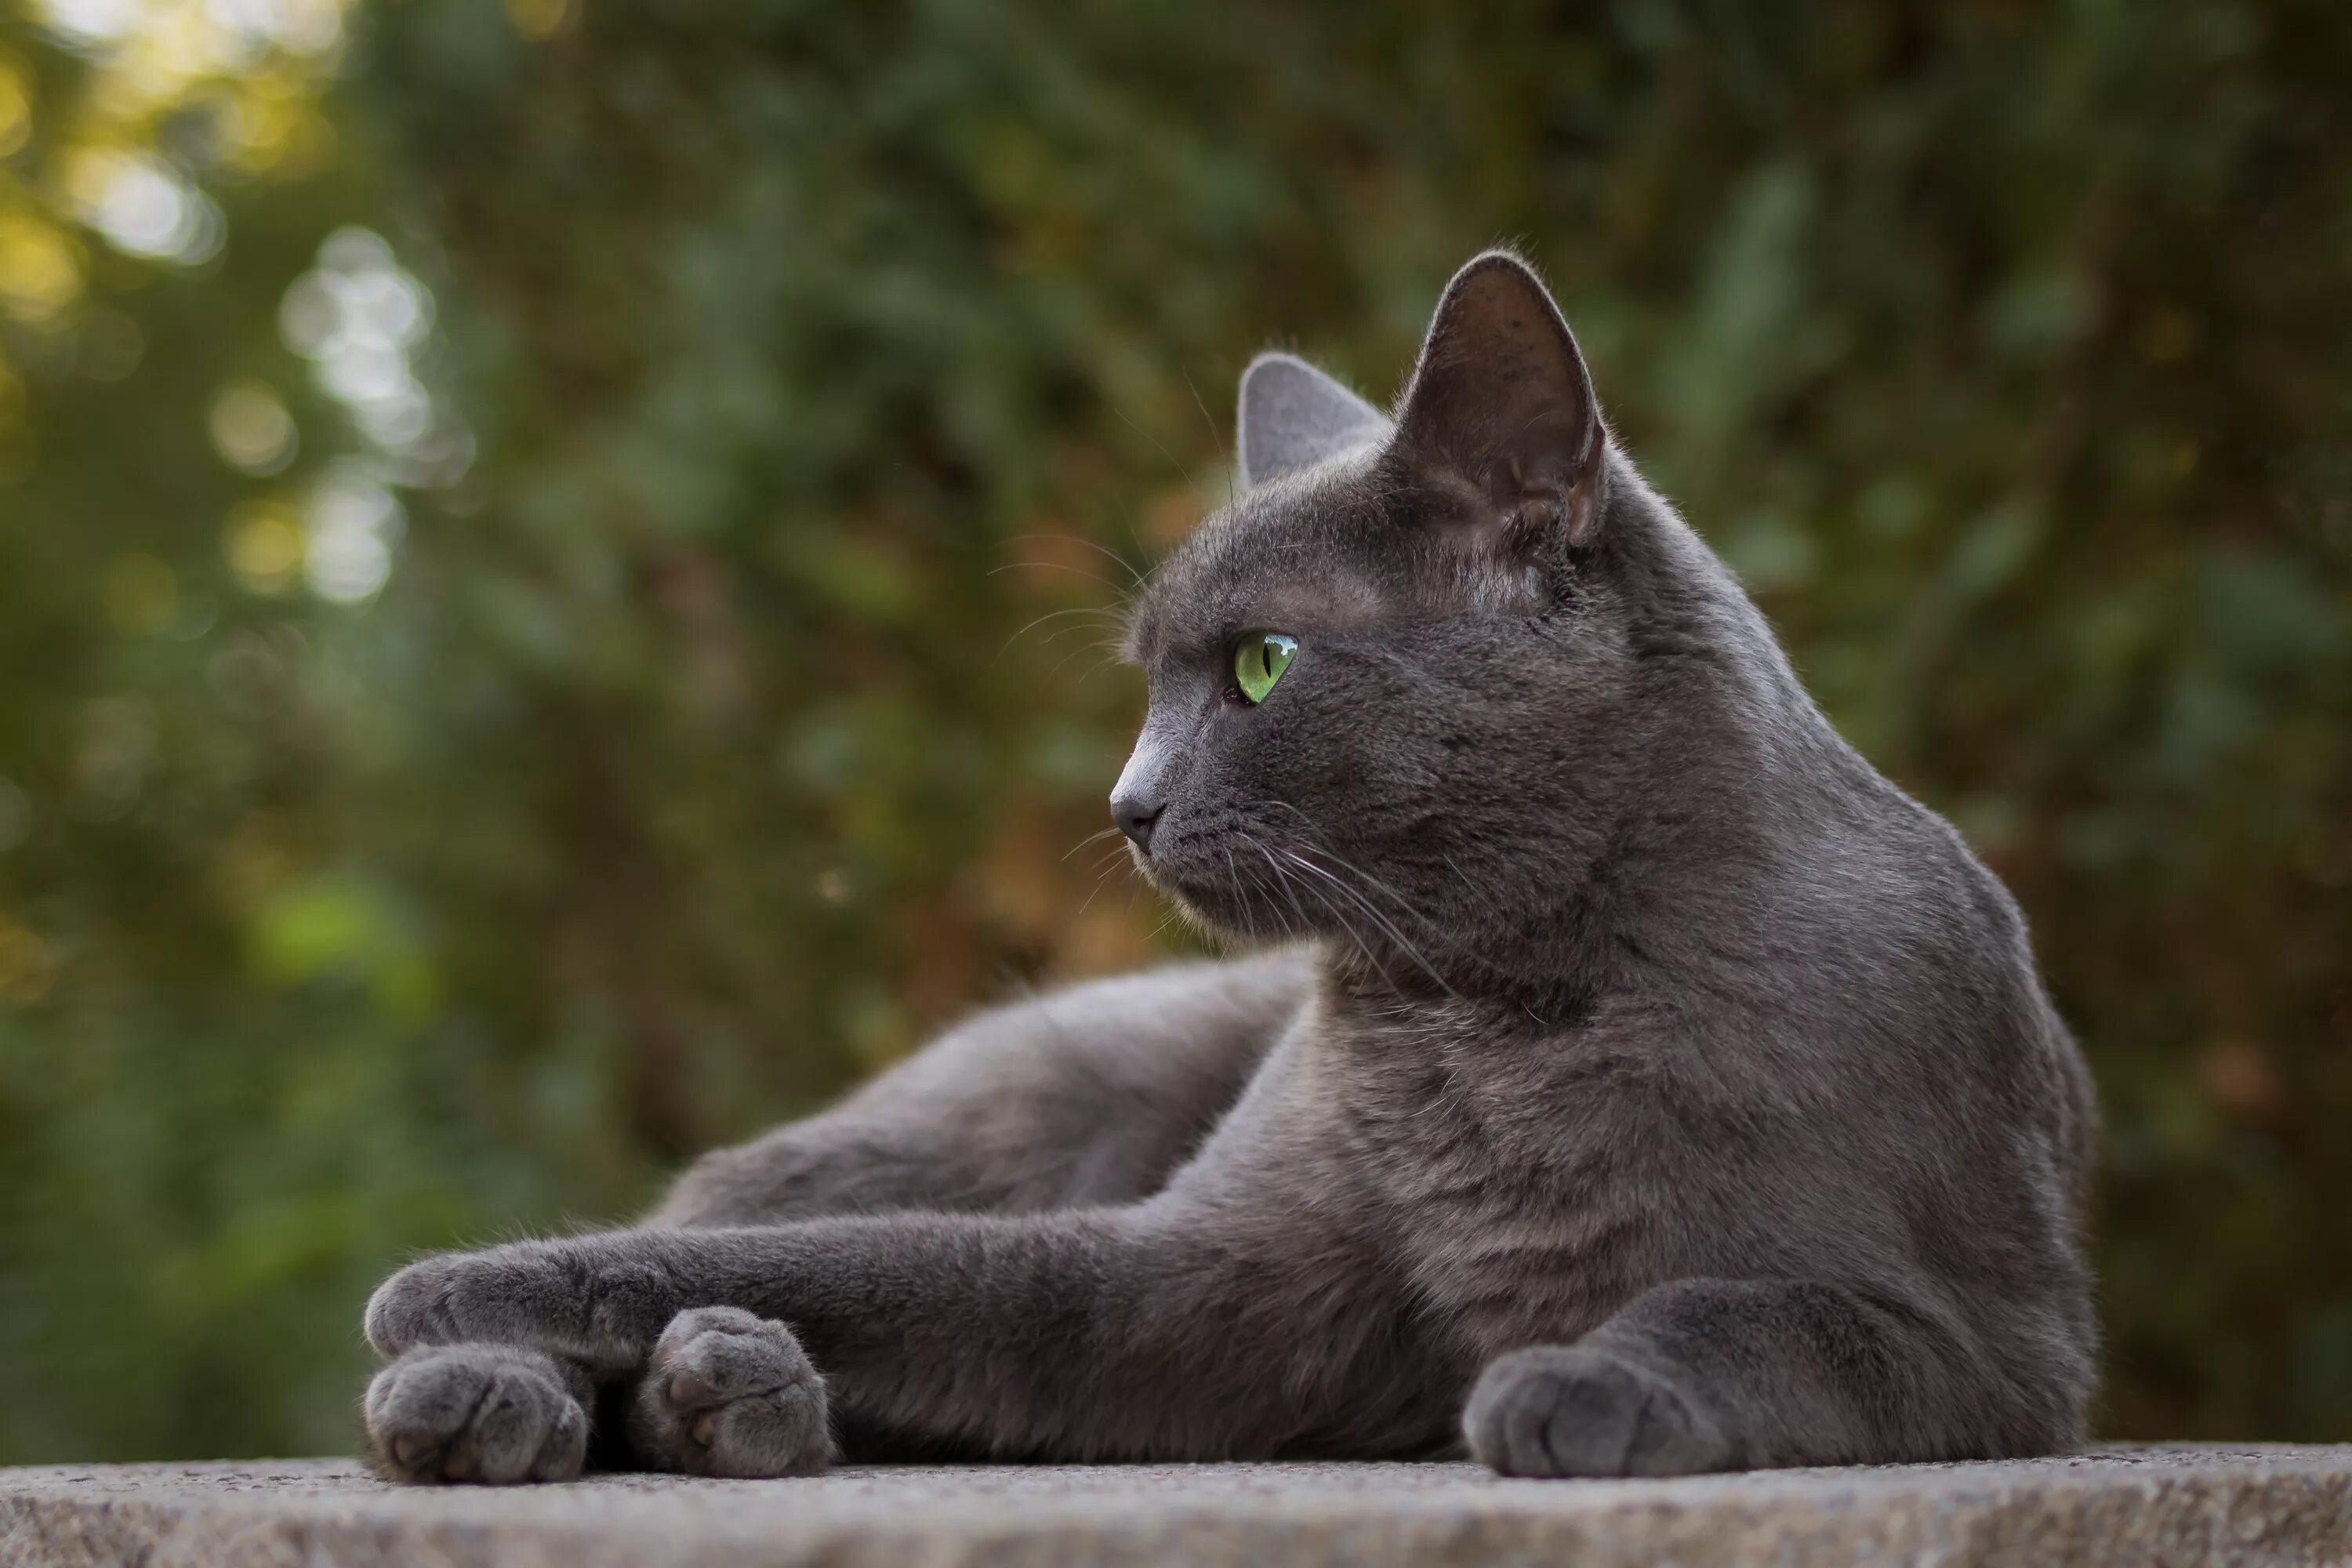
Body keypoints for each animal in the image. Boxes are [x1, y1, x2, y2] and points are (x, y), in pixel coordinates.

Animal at [362, 255, 2098, 1486]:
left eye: (1262, 666)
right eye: (1148, 682)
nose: (1127, 800)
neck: (1500, 1015)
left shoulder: (2002, 1342)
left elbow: (1757, 1305)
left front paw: (1579, 1378)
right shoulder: (1200, 1278)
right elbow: (892, 1270)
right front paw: (449, 1295)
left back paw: (730, 1388)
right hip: (997, 1099)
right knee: (759, 1213)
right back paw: (498, 1396)